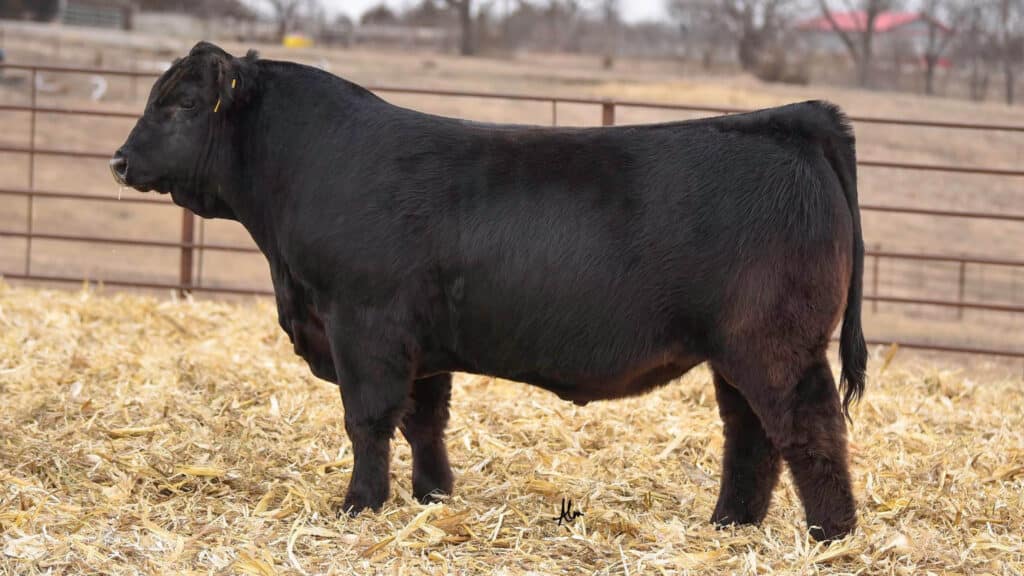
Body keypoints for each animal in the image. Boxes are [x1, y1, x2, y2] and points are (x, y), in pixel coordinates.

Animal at [111, 42, 867, 542]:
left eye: (181, 105)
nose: (118, 160)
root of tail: (791, 118)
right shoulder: (420, 342)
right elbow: (423, 421)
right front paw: (432, 497)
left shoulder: (364, 324)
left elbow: (368, 419)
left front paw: (359, 504)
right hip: (734, 352)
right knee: (751, 436)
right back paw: (729, 525)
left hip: (774, 345)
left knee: (808, 428)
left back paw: (830, 535)